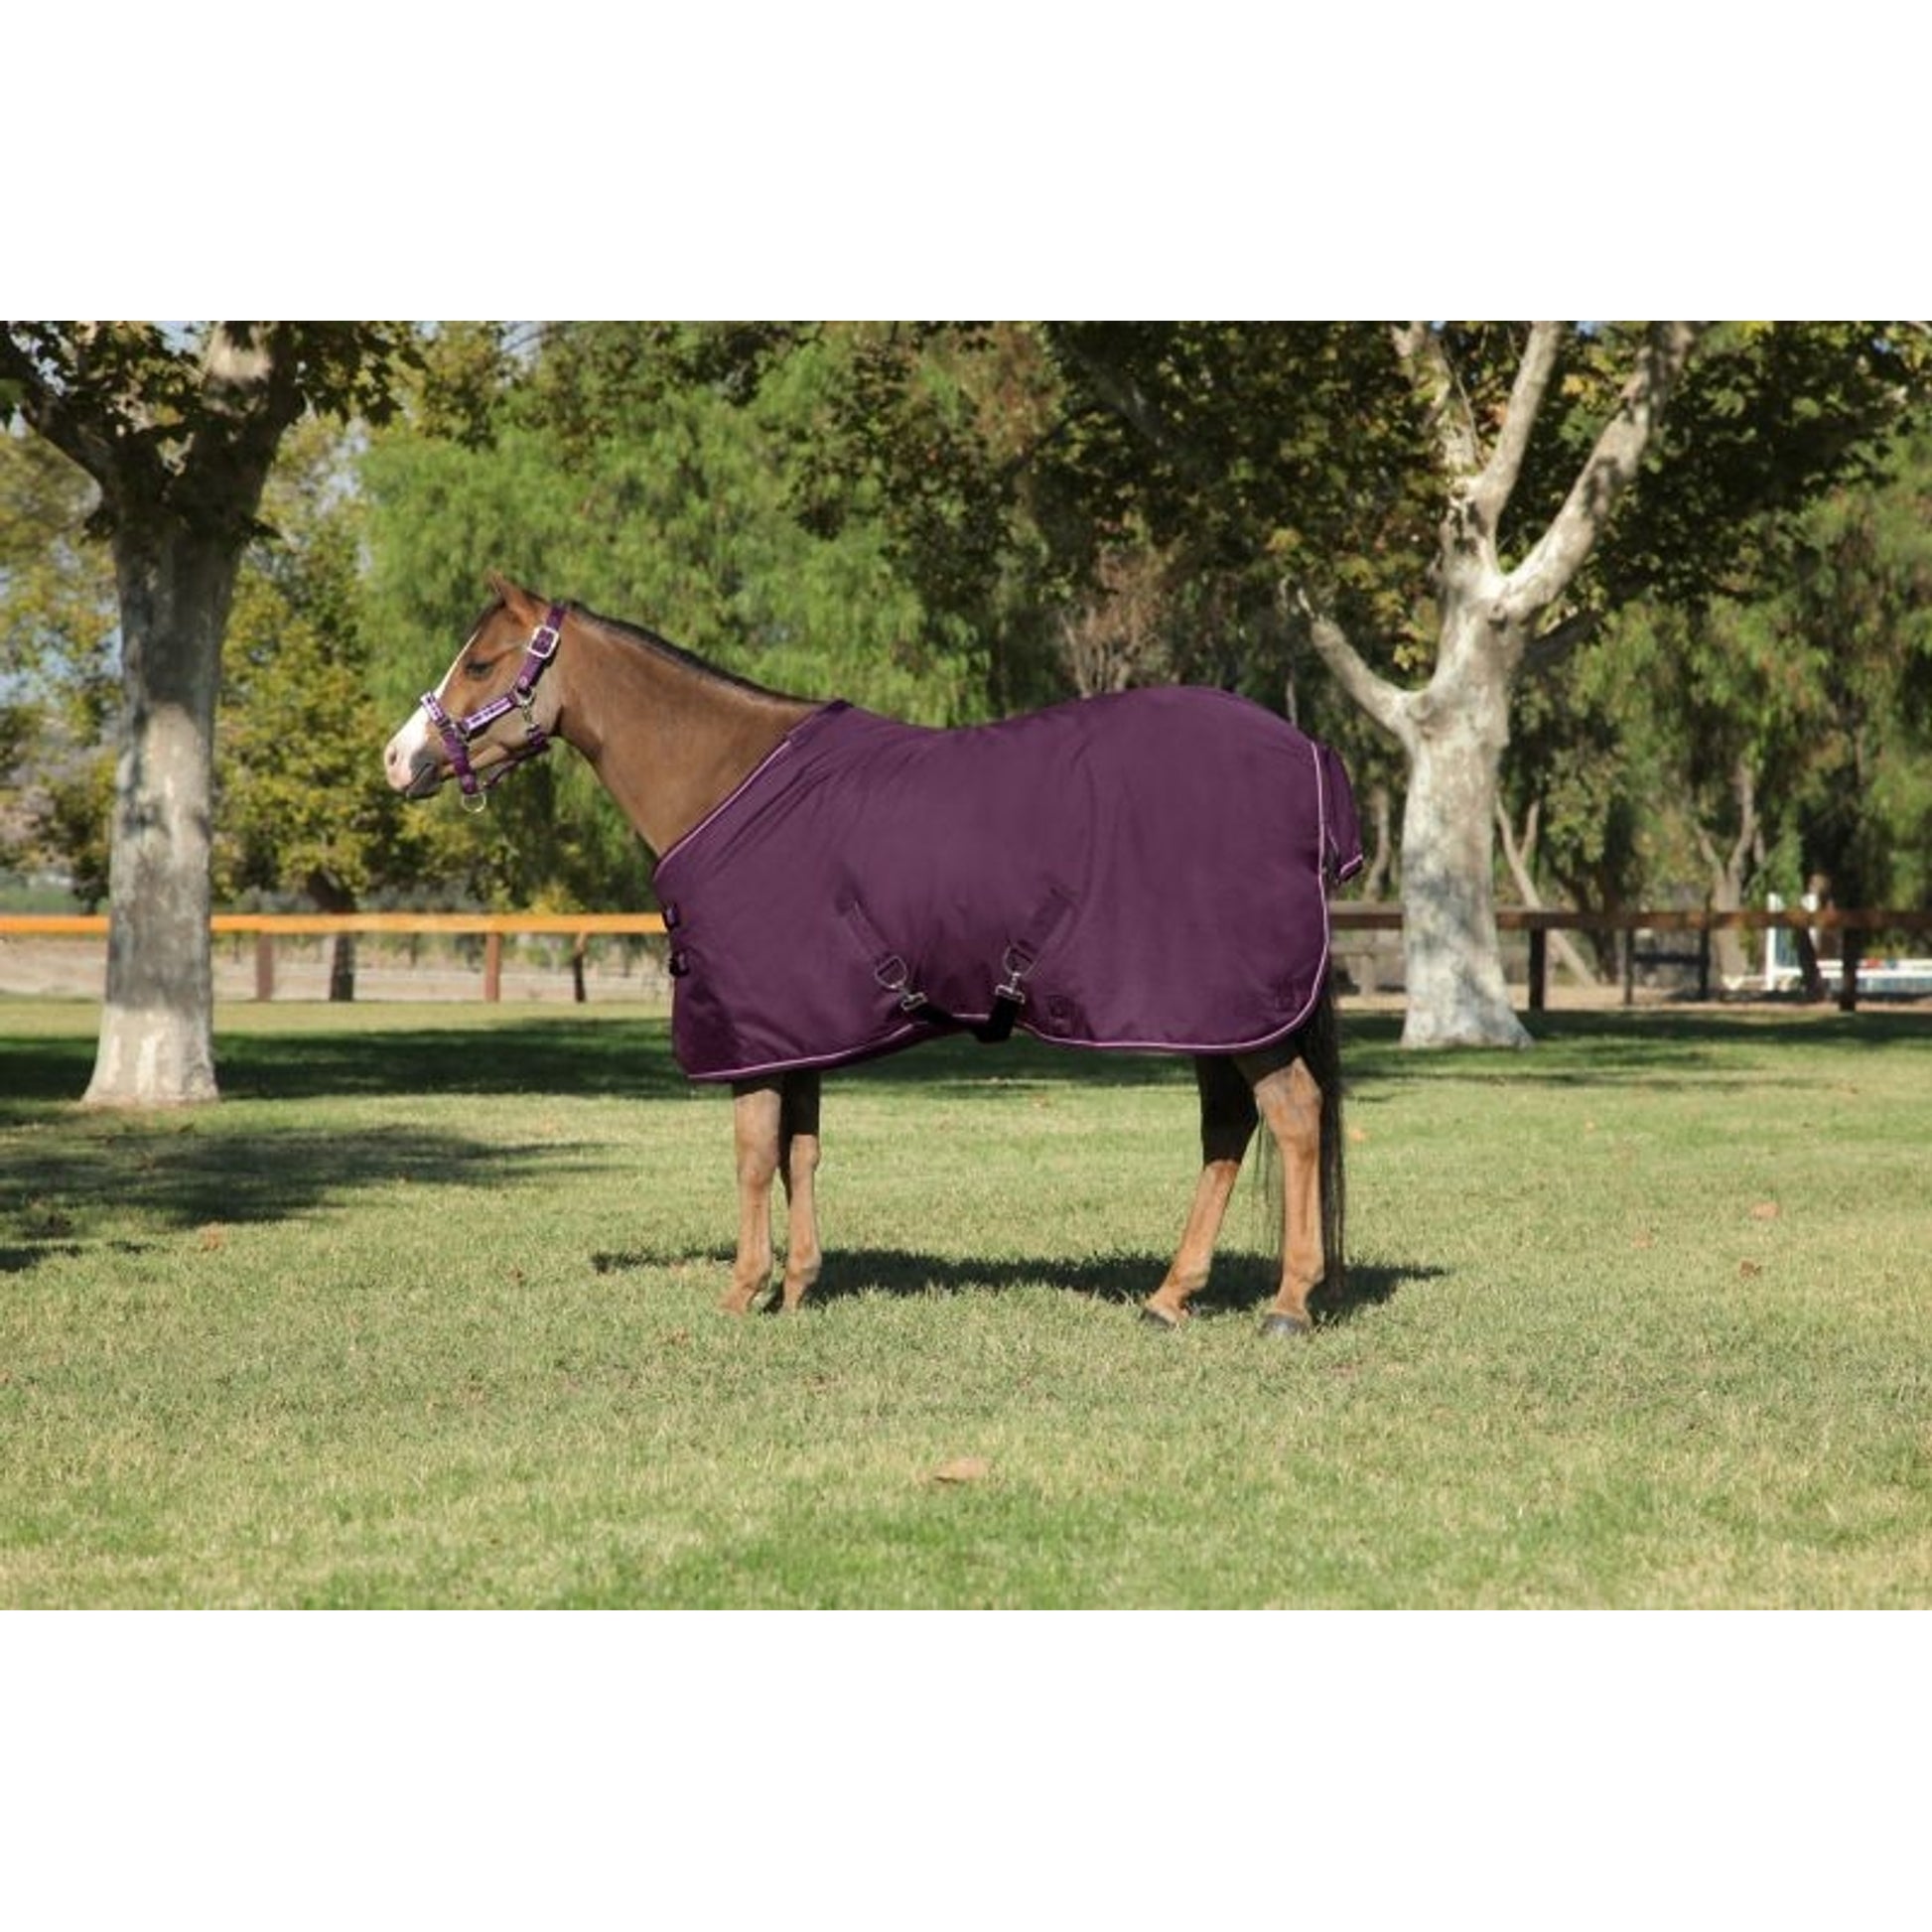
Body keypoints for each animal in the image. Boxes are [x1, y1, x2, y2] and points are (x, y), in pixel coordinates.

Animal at [383, 574, 1364, 1336]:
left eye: (481, 663)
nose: (399, 759)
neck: (727, 779)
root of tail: (1308, 755)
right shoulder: (796, 1027)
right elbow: (801, 1150)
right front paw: (797, 1289)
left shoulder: (752, 1029)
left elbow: (753, 1152)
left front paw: (741, 1293)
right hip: (1217, 1015)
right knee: (1229, 1128)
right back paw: (1170, 1296)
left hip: (1235, 1010)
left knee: (1293, 1116)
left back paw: (1288, 1304)